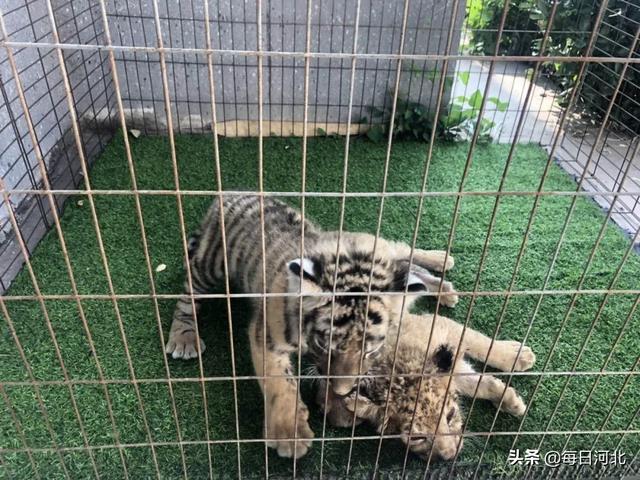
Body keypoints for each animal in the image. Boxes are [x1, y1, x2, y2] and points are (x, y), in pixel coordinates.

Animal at [165, 194, 459, 458]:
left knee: (407, 256)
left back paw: (442, 269)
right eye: (324, 345)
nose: (342, 391)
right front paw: (290, 433)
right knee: (188, 293)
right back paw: (183, 337)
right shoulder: (268, 333)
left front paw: (337, 403)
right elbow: (279, 380)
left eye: (369, 351)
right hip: (211, 262)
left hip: (383, 250)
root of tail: (229, 194)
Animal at [317, 312, 535, 460]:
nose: (449, 455)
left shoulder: (439, 325)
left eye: (450, 415)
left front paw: (517, 360)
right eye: (417, 438)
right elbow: (477, 384)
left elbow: (480, 346)